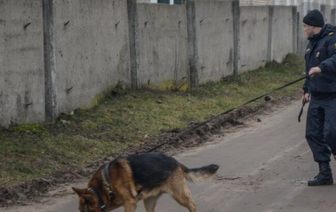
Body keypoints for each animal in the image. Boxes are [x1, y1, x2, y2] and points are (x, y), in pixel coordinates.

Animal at [72, 152, 219, 212]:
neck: (105, 187)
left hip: (179, 196)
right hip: (149, 201)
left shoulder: (130, 204)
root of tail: (177, 163)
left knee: (192, 205)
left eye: (84, 211)